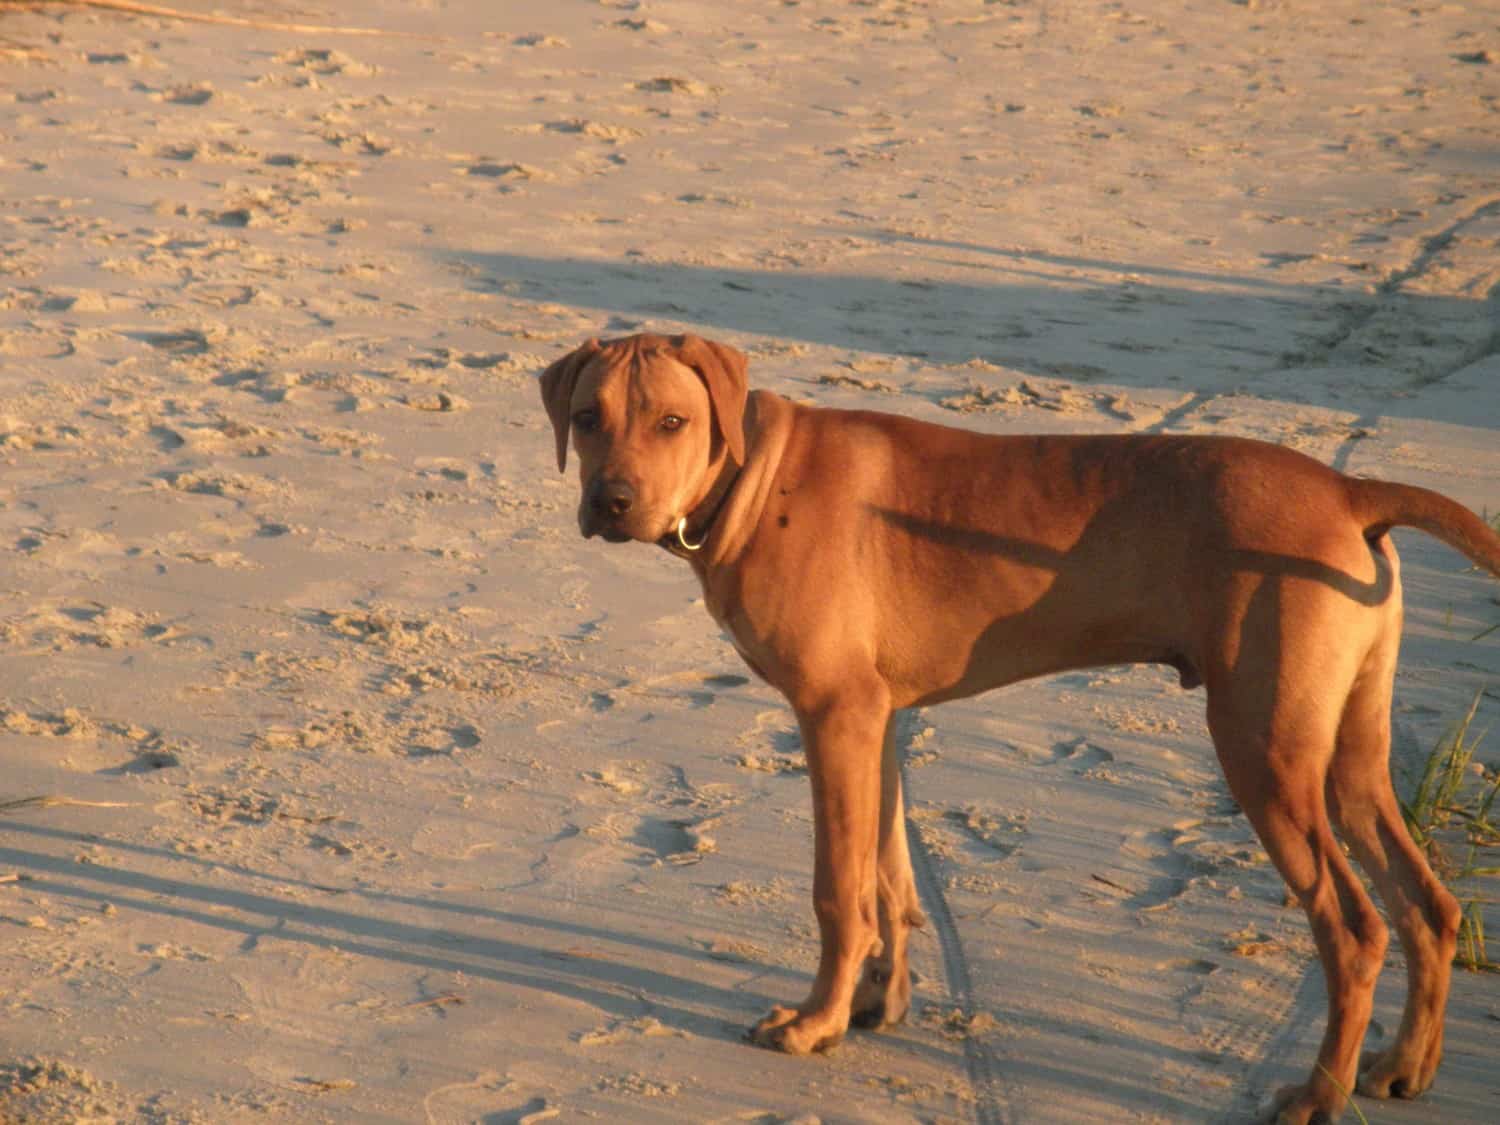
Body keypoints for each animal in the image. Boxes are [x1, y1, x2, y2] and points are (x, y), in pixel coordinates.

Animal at [540, 334, 1500, 1125]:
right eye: (588, 418)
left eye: (672, 421)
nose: (611, 501)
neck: (755, 476)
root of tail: (1349, 489)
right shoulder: (876, 720)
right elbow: (889, 874)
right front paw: (877, 1001)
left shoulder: (833, 715)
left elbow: (838, 890)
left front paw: (816, 1021)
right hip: (1347, 758)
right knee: (1428, 905)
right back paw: (1404, 1065)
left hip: (1262, 752)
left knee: (1356, 928)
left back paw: (1316, 1094)